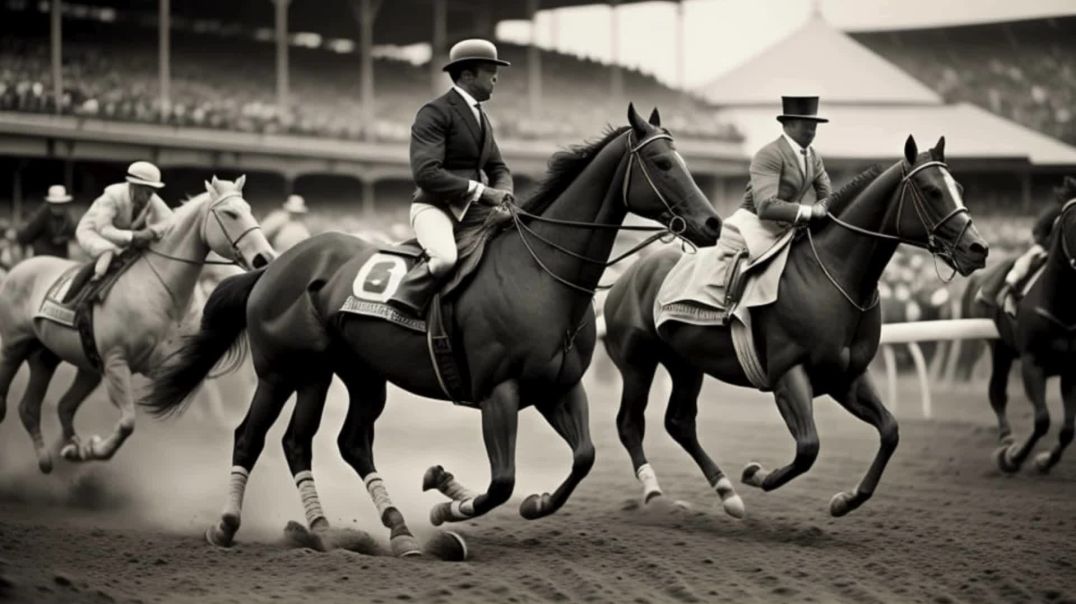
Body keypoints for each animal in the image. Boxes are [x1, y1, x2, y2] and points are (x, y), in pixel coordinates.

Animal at [0, 176, 275, 473]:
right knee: (10, 402)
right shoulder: (116, 362)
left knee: (42, 407)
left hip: (54, 358)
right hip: (13, 347)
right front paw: (94, 448)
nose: (266, 258)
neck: (162, 291)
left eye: (250, 210)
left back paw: (53, 456)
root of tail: (18, 268)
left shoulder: (164, 366)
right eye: (230, 213)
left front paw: (82, 450)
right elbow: (127, 423)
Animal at [138, 106, 723, 555]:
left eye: (684, 161)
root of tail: (273, 265)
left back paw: (371, 531)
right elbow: (500, 483)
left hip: (346, 375)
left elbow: (582, 459)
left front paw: (524, 501)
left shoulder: (559, 387)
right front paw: (448, 505)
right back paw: (229, 525)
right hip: (284, 371)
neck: (540, 274)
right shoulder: (498, 393)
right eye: (663, 163)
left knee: (328, 443)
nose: (713, 224)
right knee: (253, 436)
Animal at [602, 135, 985, 518]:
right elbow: (808, 448)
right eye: (932, 191)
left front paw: (846, 500)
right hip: (637, 363)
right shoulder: (788, 374)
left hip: (685, 364)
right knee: (629, 423)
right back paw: (655, 493)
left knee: (680, 423)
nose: (978, 248)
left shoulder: (846, 376)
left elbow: (890, 430)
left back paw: (727, 493)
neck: (833, 275)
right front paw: (756, 473)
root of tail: (623, 277)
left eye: (960, 188)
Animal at [959, 177, 1076, 471]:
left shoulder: (1070, 369)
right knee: (997, 393)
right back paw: (1005, 439)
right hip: (999, 348)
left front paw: (1045, 461)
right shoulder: (1032, 362)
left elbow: (1068, 430)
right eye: (1073, 220)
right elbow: (1043, 419)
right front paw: (1013, 457)